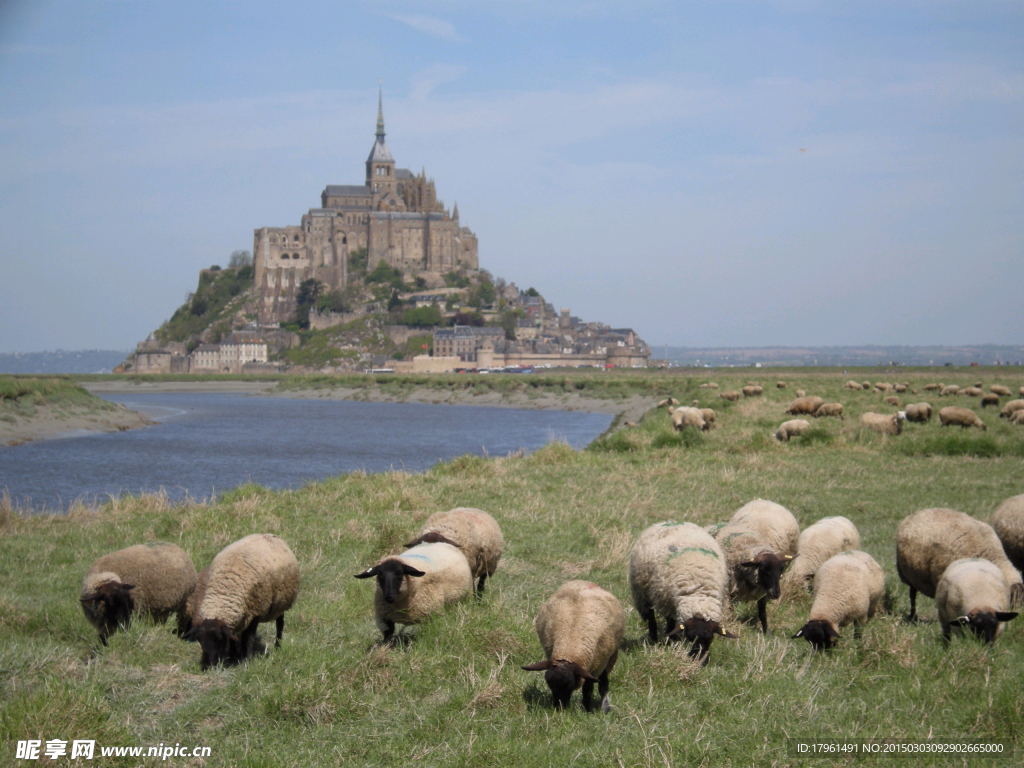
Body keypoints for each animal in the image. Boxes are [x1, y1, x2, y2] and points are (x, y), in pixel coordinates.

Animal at [185, 532, 299, 671]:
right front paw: (233, 657)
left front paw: (246, 660)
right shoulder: (236, 617)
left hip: (281, 602)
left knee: (280, 624)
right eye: (200, 641)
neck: (224, 593)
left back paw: (277, 646)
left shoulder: (255, 611)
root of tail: (268, 534)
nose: (208, 667)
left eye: (218, 640)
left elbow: (248, 638)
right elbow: (232, 637)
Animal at [520, 581, 622, 716]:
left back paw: (605, 706)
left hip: (610, 657)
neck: (570, 646)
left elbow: (588, 688)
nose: (559, 707)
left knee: (603, 683)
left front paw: (588, 709)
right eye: (549, 684)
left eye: (569, 685)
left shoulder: (597, 665)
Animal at [622, 524, 737, 663]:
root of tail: (668, 522)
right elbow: (670, 624)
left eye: (710, 639)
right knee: (650, 616)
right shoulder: (667, 602)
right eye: (689, 637)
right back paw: (654, 638)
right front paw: (669, 641)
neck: (698, 592)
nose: (697, 661)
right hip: (641, 591)